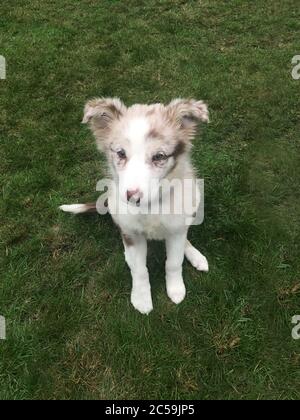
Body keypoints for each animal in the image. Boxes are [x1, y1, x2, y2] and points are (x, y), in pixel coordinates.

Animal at [60, 98, 210, 314]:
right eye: (121, 153)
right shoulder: (131, 233)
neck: (151, 206)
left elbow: (174, 262)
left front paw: (175, 289)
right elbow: (139, 270)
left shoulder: (175, 229)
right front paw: (141, 299)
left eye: (159, 156)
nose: (132, 197)